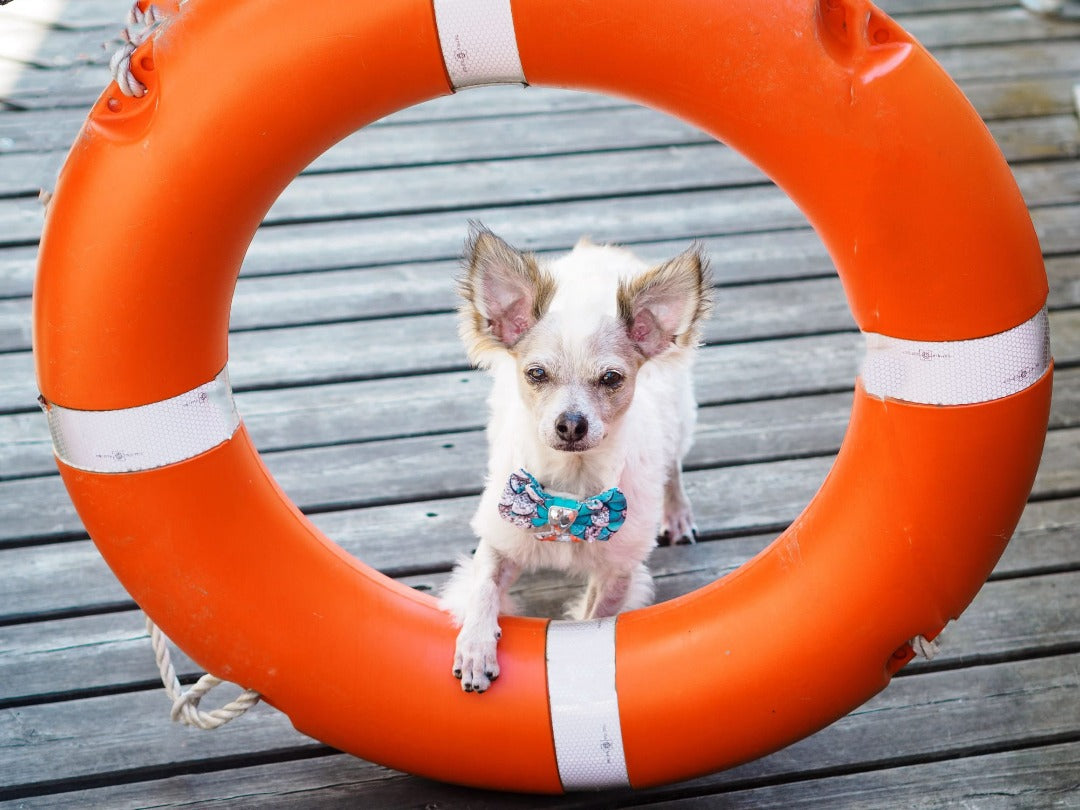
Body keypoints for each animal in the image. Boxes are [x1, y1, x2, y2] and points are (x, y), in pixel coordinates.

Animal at [438, 225, 708, 695]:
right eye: (536, 374)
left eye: (611, 378)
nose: (571, 424)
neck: (569, 491)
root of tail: (598, 252)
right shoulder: (499, 539)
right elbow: (483, 589)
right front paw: (475, 648)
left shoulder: (617, 573)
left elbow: (594, 620)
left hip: (680, 418)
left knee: (673, 469)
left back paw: (676, 513)